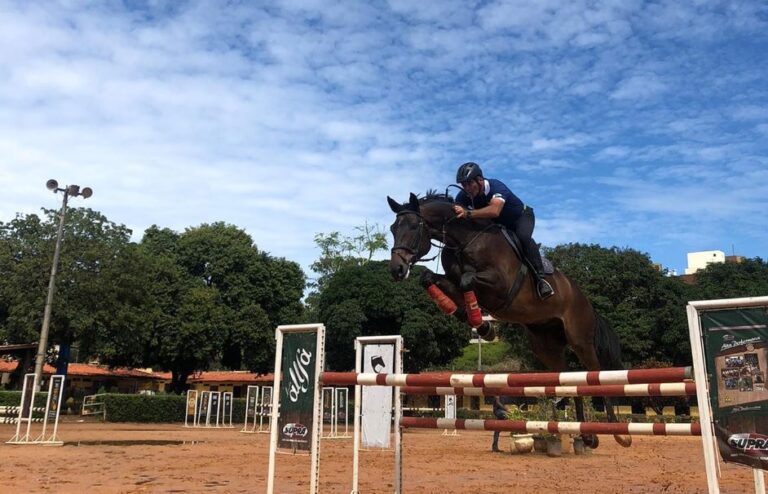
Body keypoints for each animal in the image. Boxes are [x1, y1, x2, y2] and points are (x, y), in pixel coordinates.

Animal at [388, 192, 632, 448]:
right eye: (393, 228)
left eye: (413, 226)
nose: (396, 269)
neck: (465, 240)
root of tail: (585, 300)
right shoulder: (453, 281)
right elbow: (430, 278)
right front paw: (479, 324)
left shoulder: (499, 285)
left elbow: (467, 280)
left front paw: (481, 324)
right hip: (545, 346)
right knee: (568, 379)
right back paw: (586, 435)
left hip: (580, 339)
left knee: (595, 376)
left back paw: (619, 434)